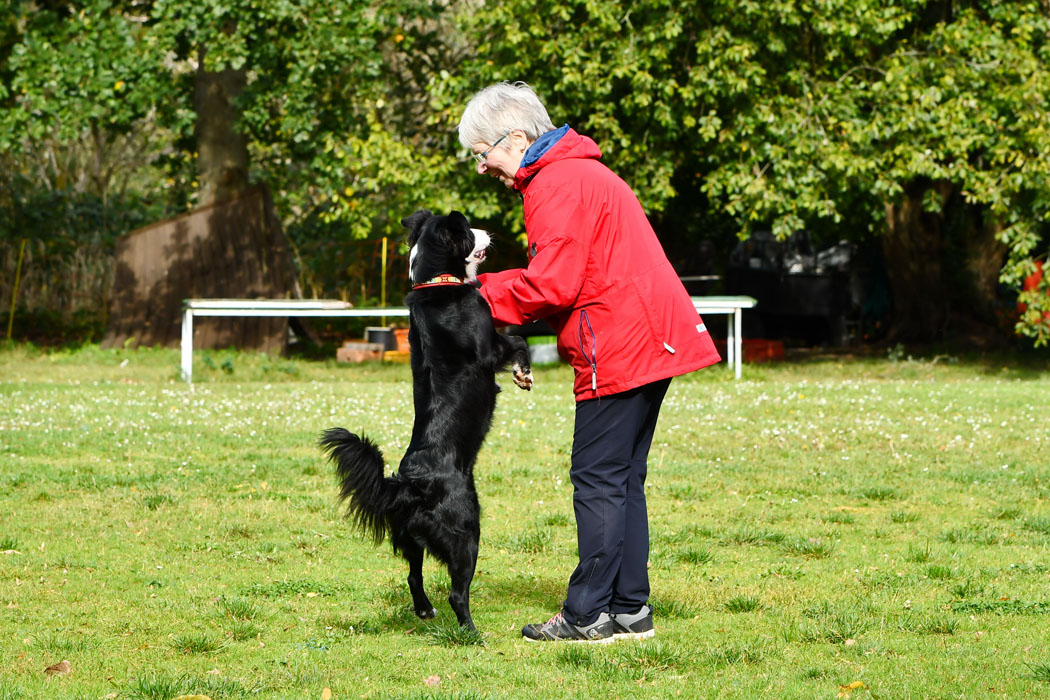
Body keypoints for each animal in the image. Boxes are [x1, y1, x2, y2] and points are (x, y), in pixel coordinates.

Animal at [319, 207, 533, 629]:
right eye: (469, 230)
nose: (488, 232)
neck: (436, 280)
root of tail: (409, 486)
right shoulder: (488, 349)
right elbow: (517, 340)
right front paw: (524, 373)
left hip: (410, 538)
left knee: (412, 575)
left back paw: (423, 609)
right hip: (468, 531)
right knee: (457, 592)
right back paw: (472, 633)